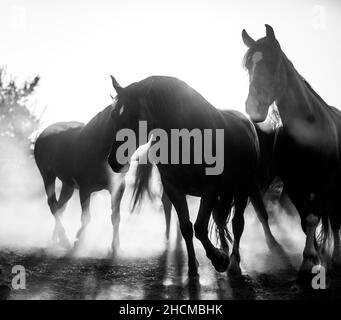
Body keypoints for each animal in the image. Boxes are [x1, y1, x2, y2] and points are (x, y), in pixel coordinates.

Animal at [34, 91, 171, 256]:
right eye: (114, 117)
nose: (119, 163)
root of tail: (44, 133)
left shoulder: (118, 188)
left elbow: (116, 217)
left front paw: (115, 248)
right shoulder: (85, 189)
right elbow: (86, 217)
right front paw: (79, 243)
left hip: (68, 185)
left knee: (60, 207)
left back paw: (57, 239)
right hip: (48, 176)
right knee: (53, 205)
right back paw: (65, 240)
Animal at [107, 74, 282, 276]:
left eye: (135, 116)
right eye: (113, 116)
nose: (113, 161)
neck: (187, 140)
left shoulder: (210, 190)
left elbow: (199, 228)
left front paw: (219, 260)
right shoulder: (175, 190)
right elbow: (186, 228)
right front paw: (193, 266)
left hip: (243, 187)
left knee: (239, 223)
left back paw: (235, 262)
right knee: (220, 220)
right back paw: (224, 249)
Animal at [240, 23, 338, 282]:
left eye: (273, 62)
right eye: (248, 67)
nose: (253, 108)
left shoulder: (325, 184)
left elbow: (316, 217)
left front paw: (314, 259)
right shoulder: (294, 184)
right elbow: (306, 220)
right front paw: (311, 259)